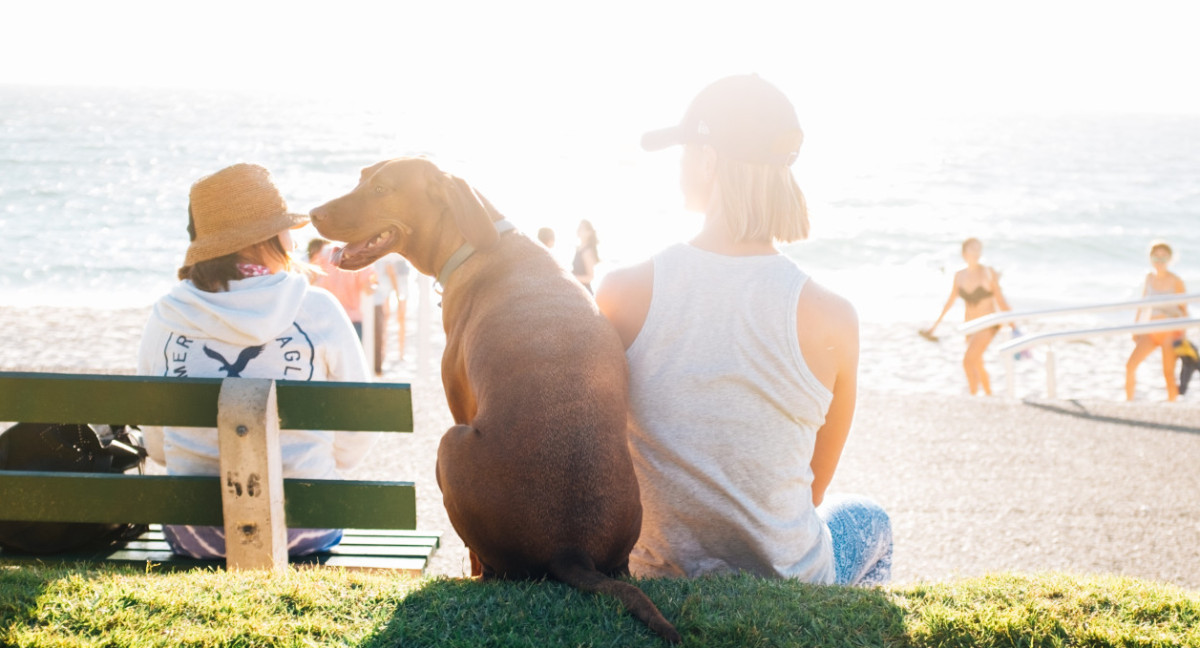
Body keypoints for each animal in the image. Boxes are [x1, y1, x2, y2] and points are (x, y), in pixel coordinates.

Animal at [314, 158, 681, 643]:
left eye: (381, 189)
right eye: (361, 178)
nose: (312, 213)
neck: (477, 242)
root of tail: (570, 550)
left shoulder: (459, 402)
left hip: (450, 443)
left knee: (488, 566)